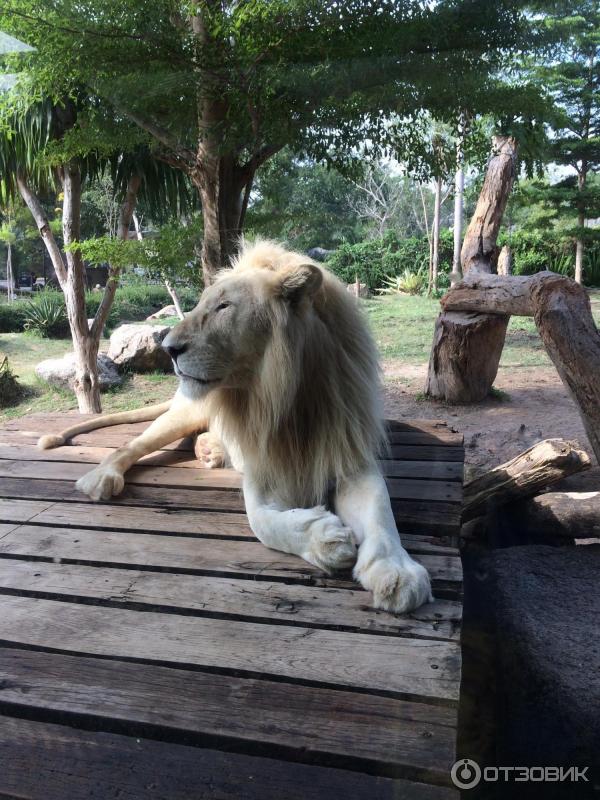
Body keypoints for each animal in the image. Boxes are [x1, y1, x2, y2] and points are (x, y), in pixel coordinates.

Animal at [39, 239, 434, 612]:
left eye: (224, 307)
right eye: (202, 305)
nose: (168, 348)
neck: (284, 399)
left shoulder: (350, 457)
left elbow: (381, 513)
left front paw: (397, 573)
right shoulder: (263, 471)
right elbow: (264, 524)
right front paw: (325, 539)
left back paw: (209, 449)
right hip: (183, 413)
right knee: (131, 445)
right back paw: (102, 477)